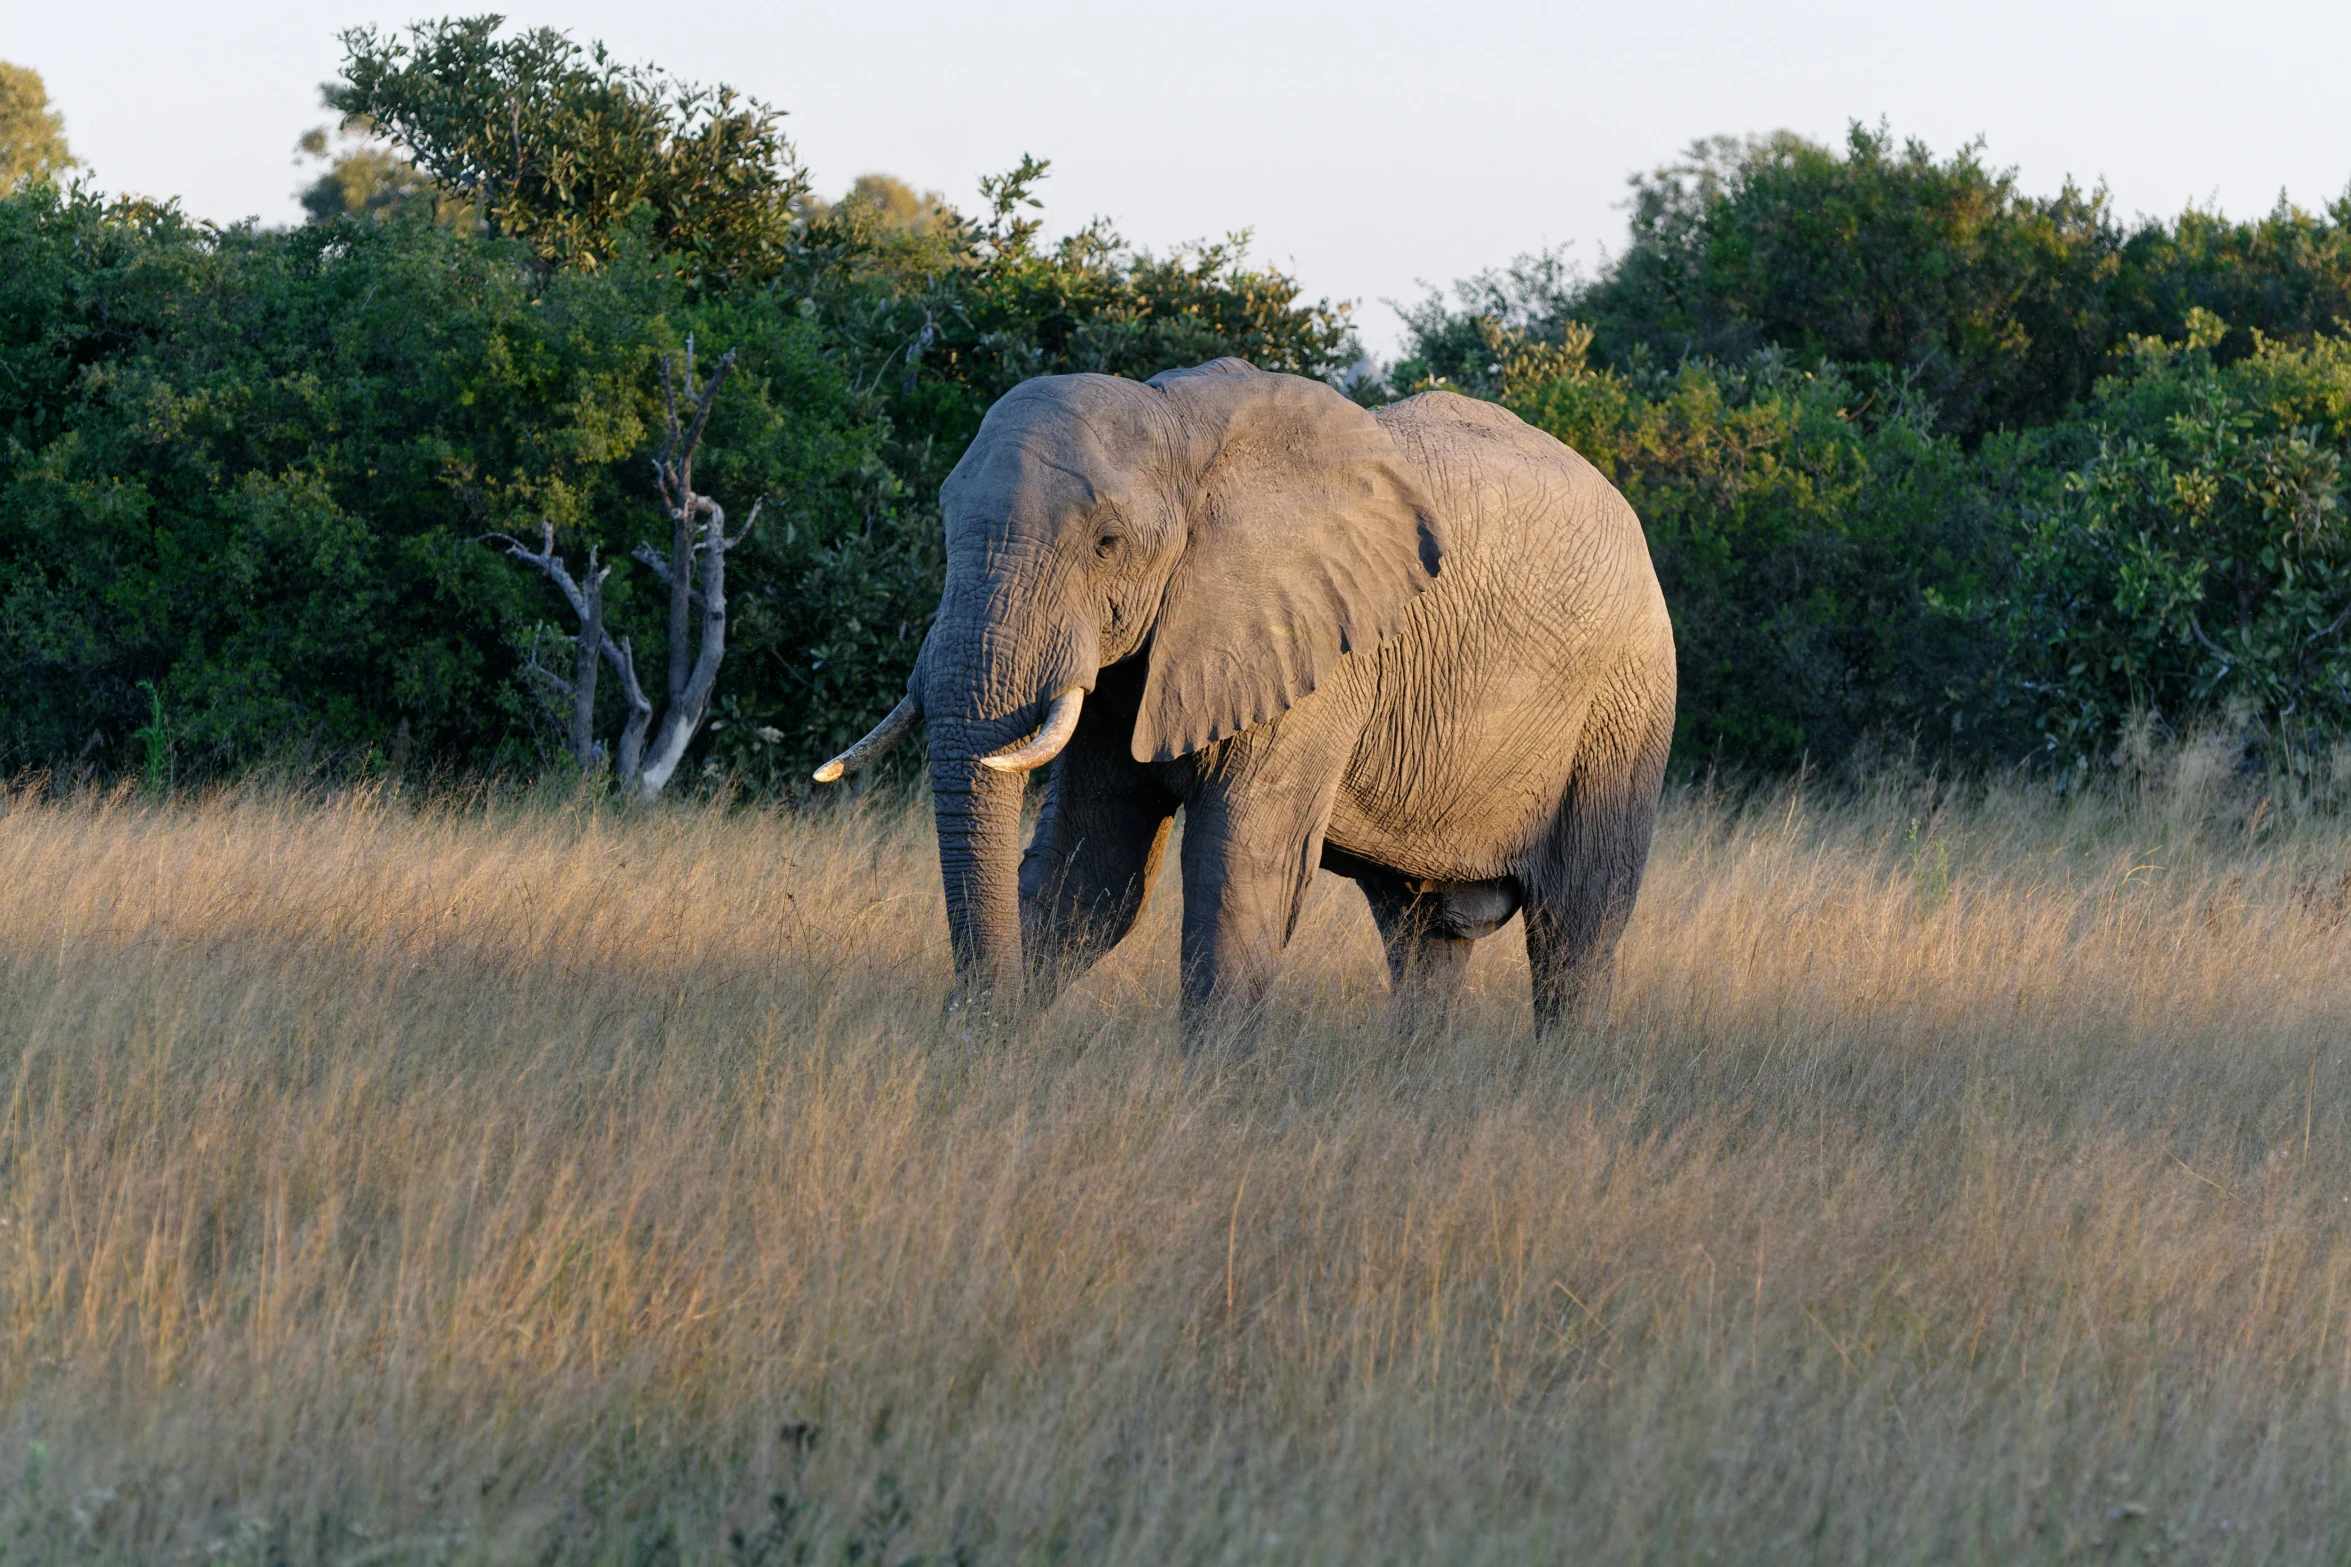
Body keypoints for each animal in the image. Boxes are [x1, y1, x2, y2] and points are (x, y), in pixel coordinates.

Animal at [818, 354, 1683, 1043]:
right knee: (1422, 931)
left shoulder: (1318, 653)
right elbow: (1090, 872)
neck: (1177, 426)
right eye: (944, 525)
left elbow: (1239, 868)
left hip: (1626, 704)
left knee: (1573, 932)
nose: (976, 1023)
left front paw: (1206, 1098)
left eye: (1105, 544)